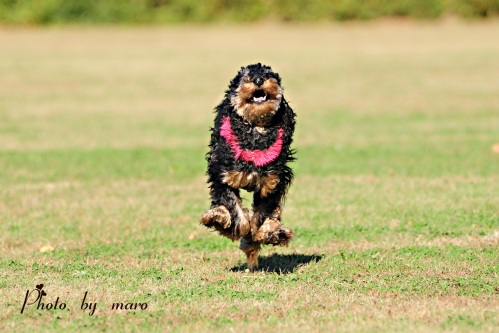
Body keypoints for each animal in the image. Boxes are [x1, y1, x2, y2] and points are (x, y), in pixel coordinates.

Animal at [200, 63, 296, 272]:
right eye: (246, 76)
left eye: (269, 75)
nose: (259, 80)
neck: (256, 130)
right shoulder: (223, 174)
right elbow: (232, 205)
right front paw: (239, 225)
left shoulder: (272, 182)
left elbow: (263, 211)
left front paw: (263, 233)